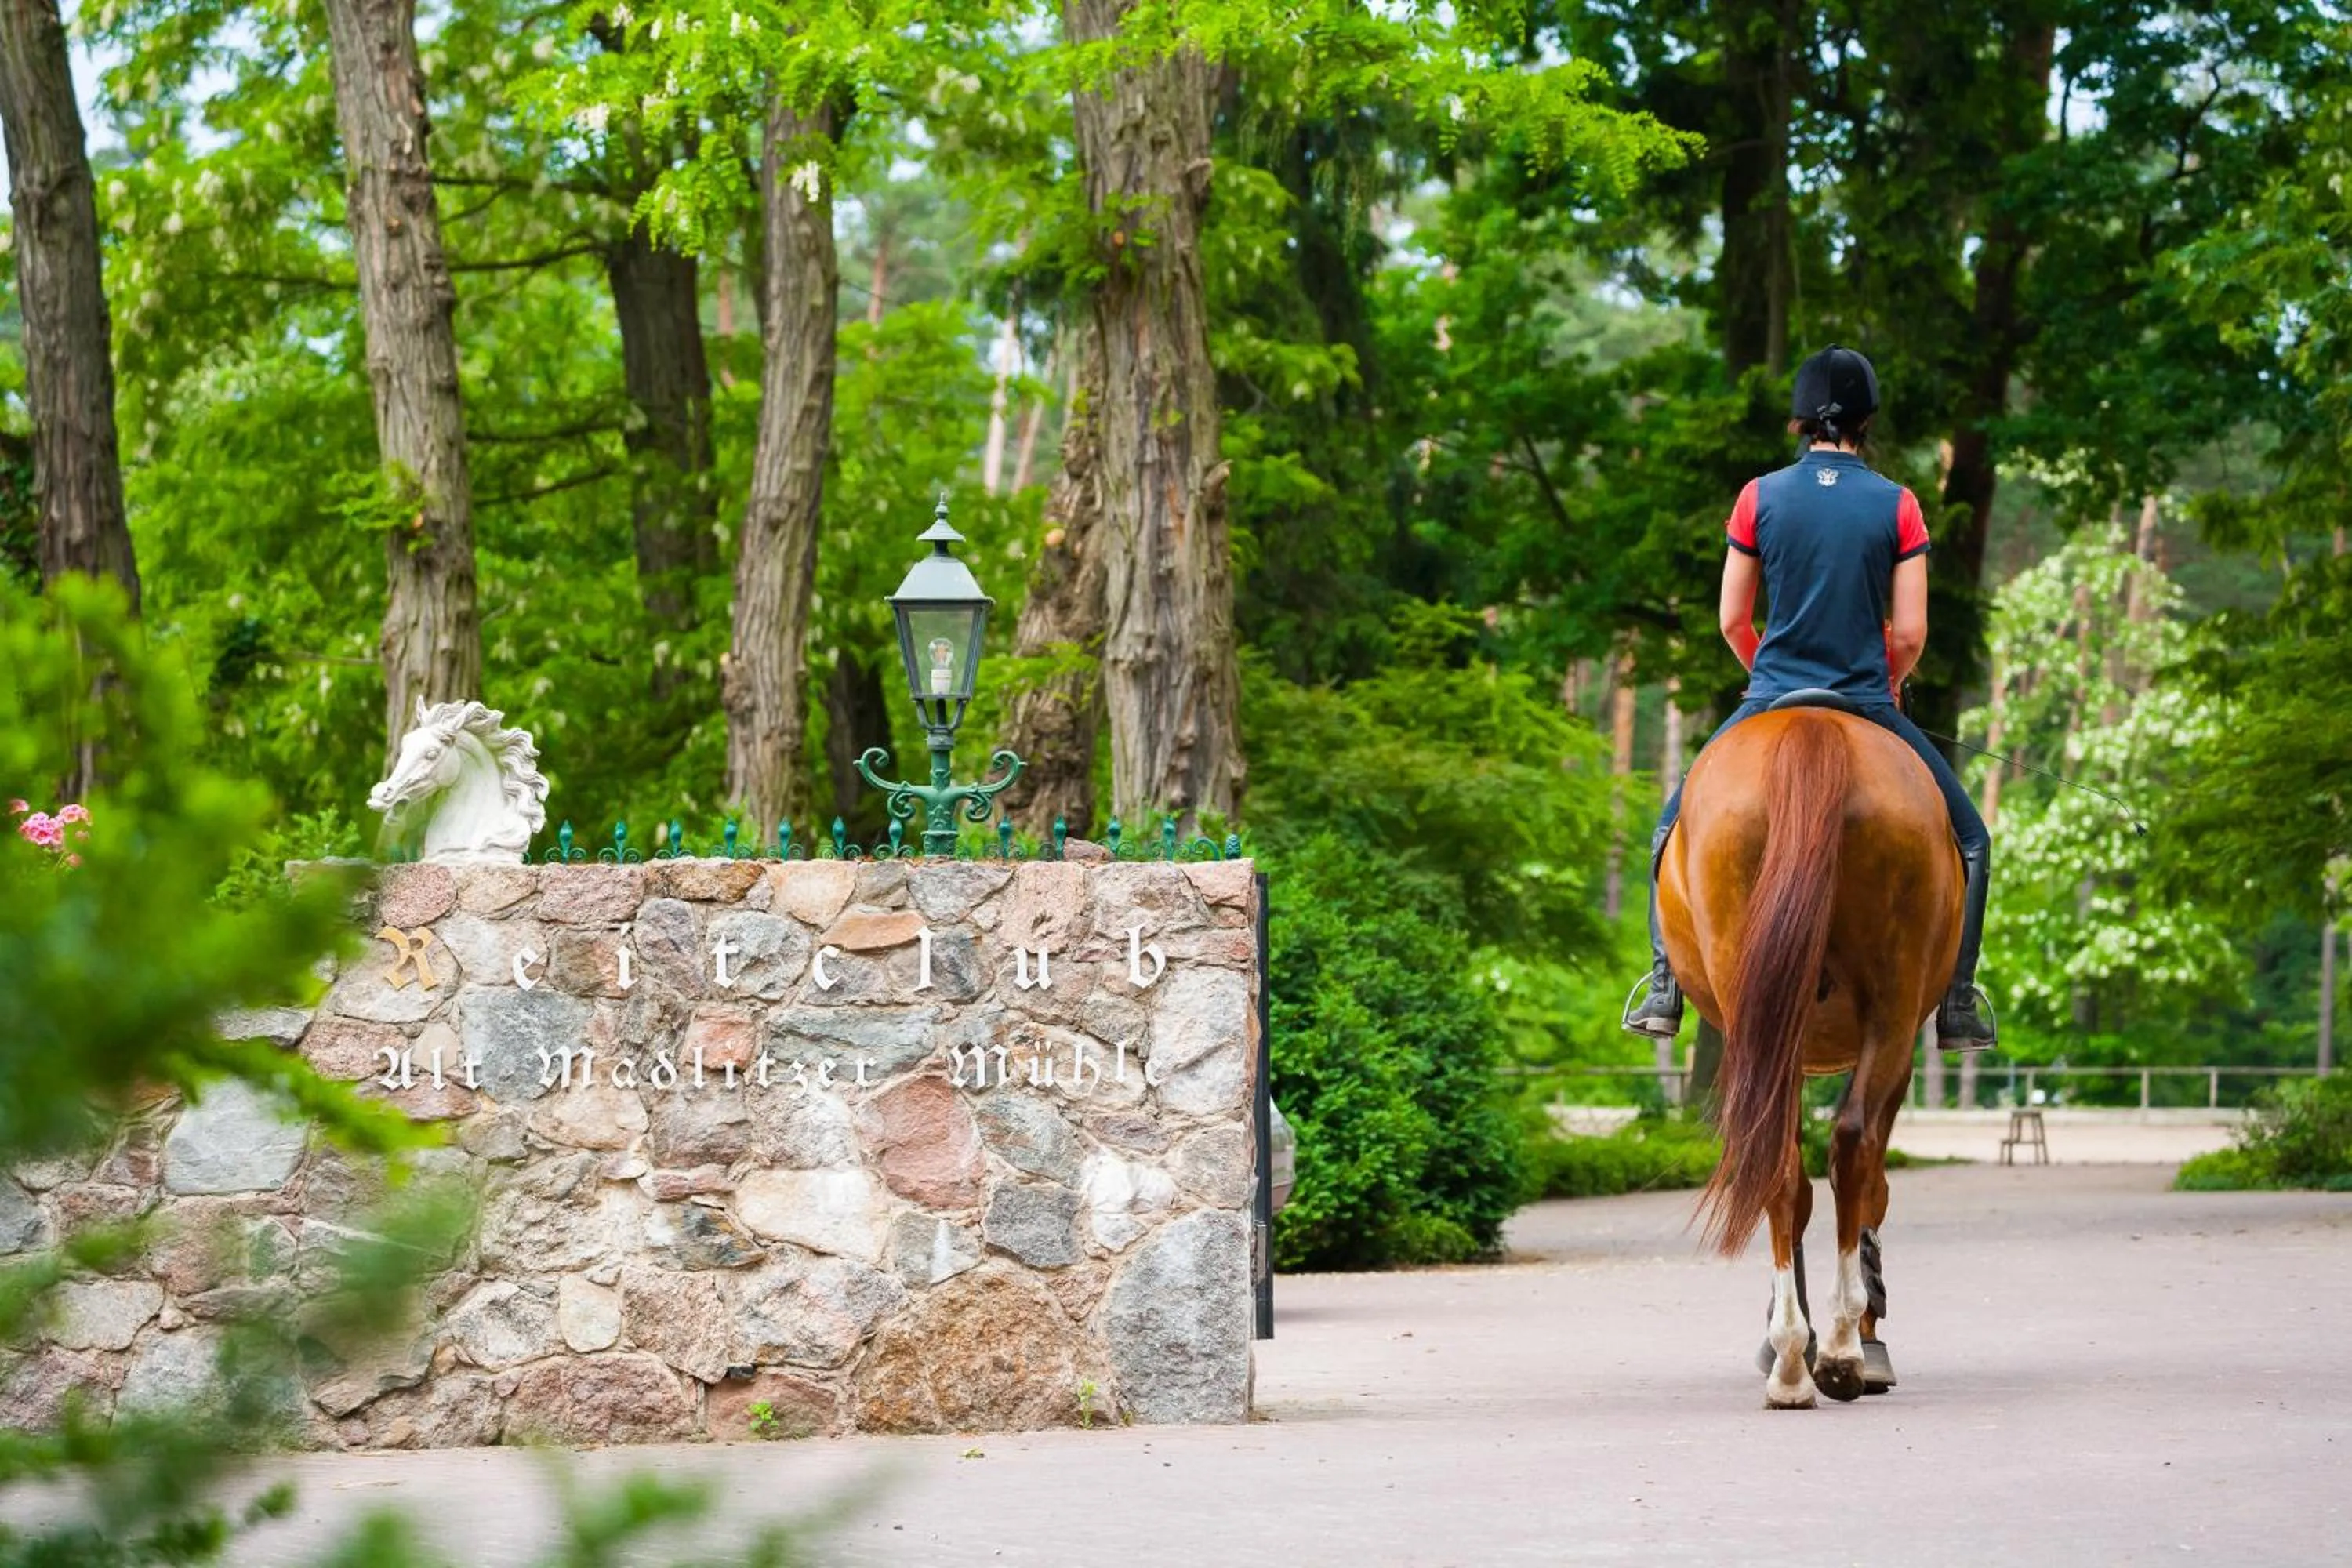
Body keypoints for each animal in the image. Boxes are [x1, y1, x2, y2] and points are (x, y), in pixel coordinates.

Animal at [1657, 697, 1962, 1408]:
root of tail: (1813, 727)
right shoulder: (1896, 1055)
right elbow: (1874, 1187)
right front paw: (1864, 1335)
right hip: (1890, 1011)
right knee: (1851, 1148)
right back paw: (1844, 1348)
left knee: (1783, 1161)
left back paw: (1796, 1360)